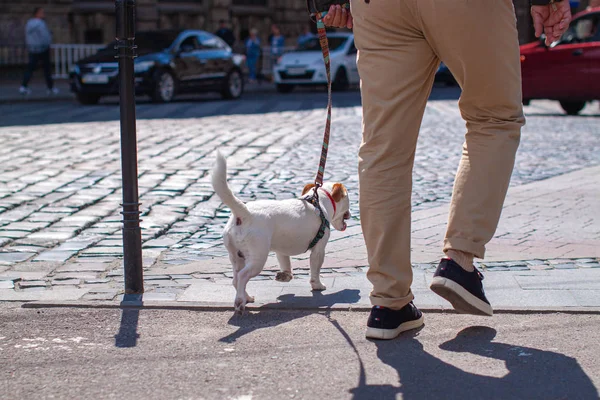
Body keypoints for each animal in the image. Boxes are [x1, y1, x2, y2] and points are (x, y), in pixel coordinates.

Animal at [212, 152, 350, 310]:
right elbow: (315, 270)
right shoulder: (319, 250)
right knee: (242, 276)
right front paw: (317, 285)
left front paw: (285, 276)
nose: (350, 214)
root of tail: (244, 213)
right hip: (257, 258)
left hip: (237, 256)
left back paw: (247, 297)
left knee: (236, 279)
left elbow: (286, 266)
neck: (319, 201)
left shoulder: (281, 251)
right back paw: (240, 301)